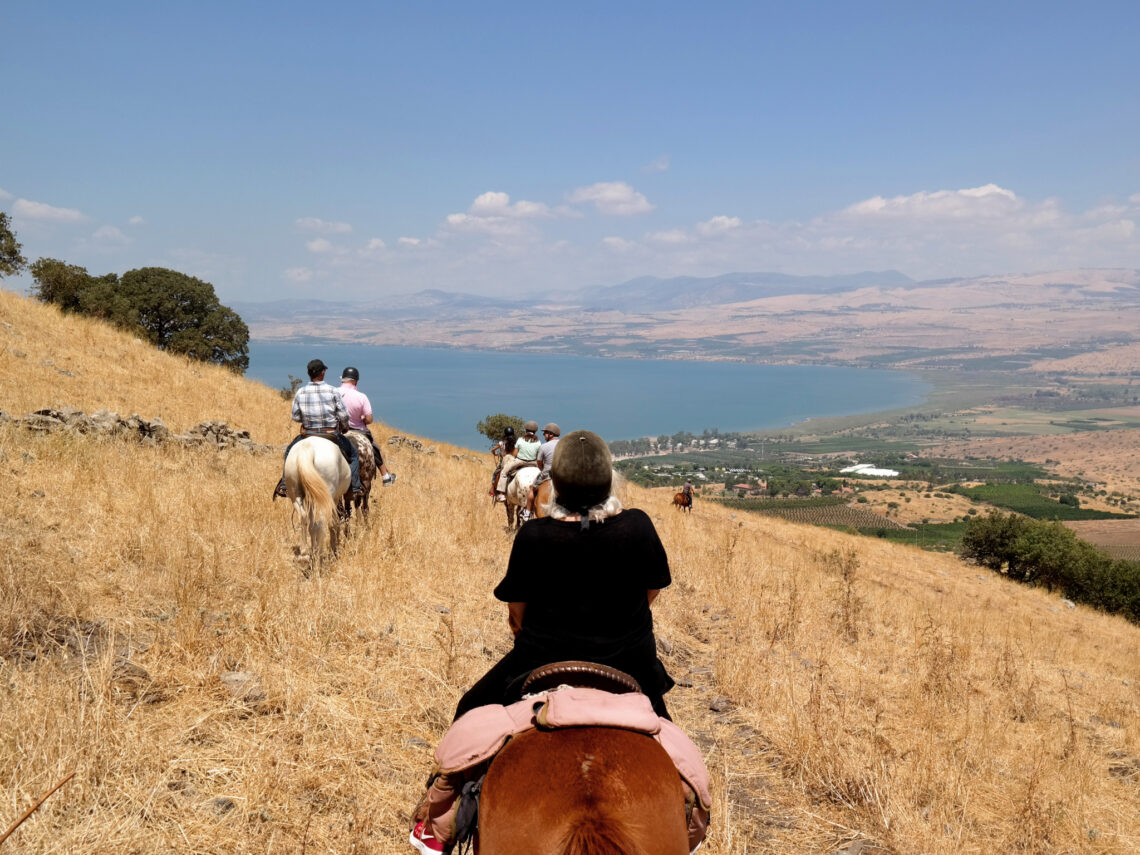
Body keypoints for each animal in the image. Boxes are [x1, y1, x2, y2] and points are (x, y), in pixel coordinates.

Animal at [283, 437, 348, 572]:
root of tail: (307, 449)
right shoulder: (334, 499)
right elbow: (333, 524)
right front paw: (334, 549)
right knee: (321, 525)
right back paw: (320, 558)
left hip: (295, 494)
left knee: (305, 519)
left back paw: (305, 553)